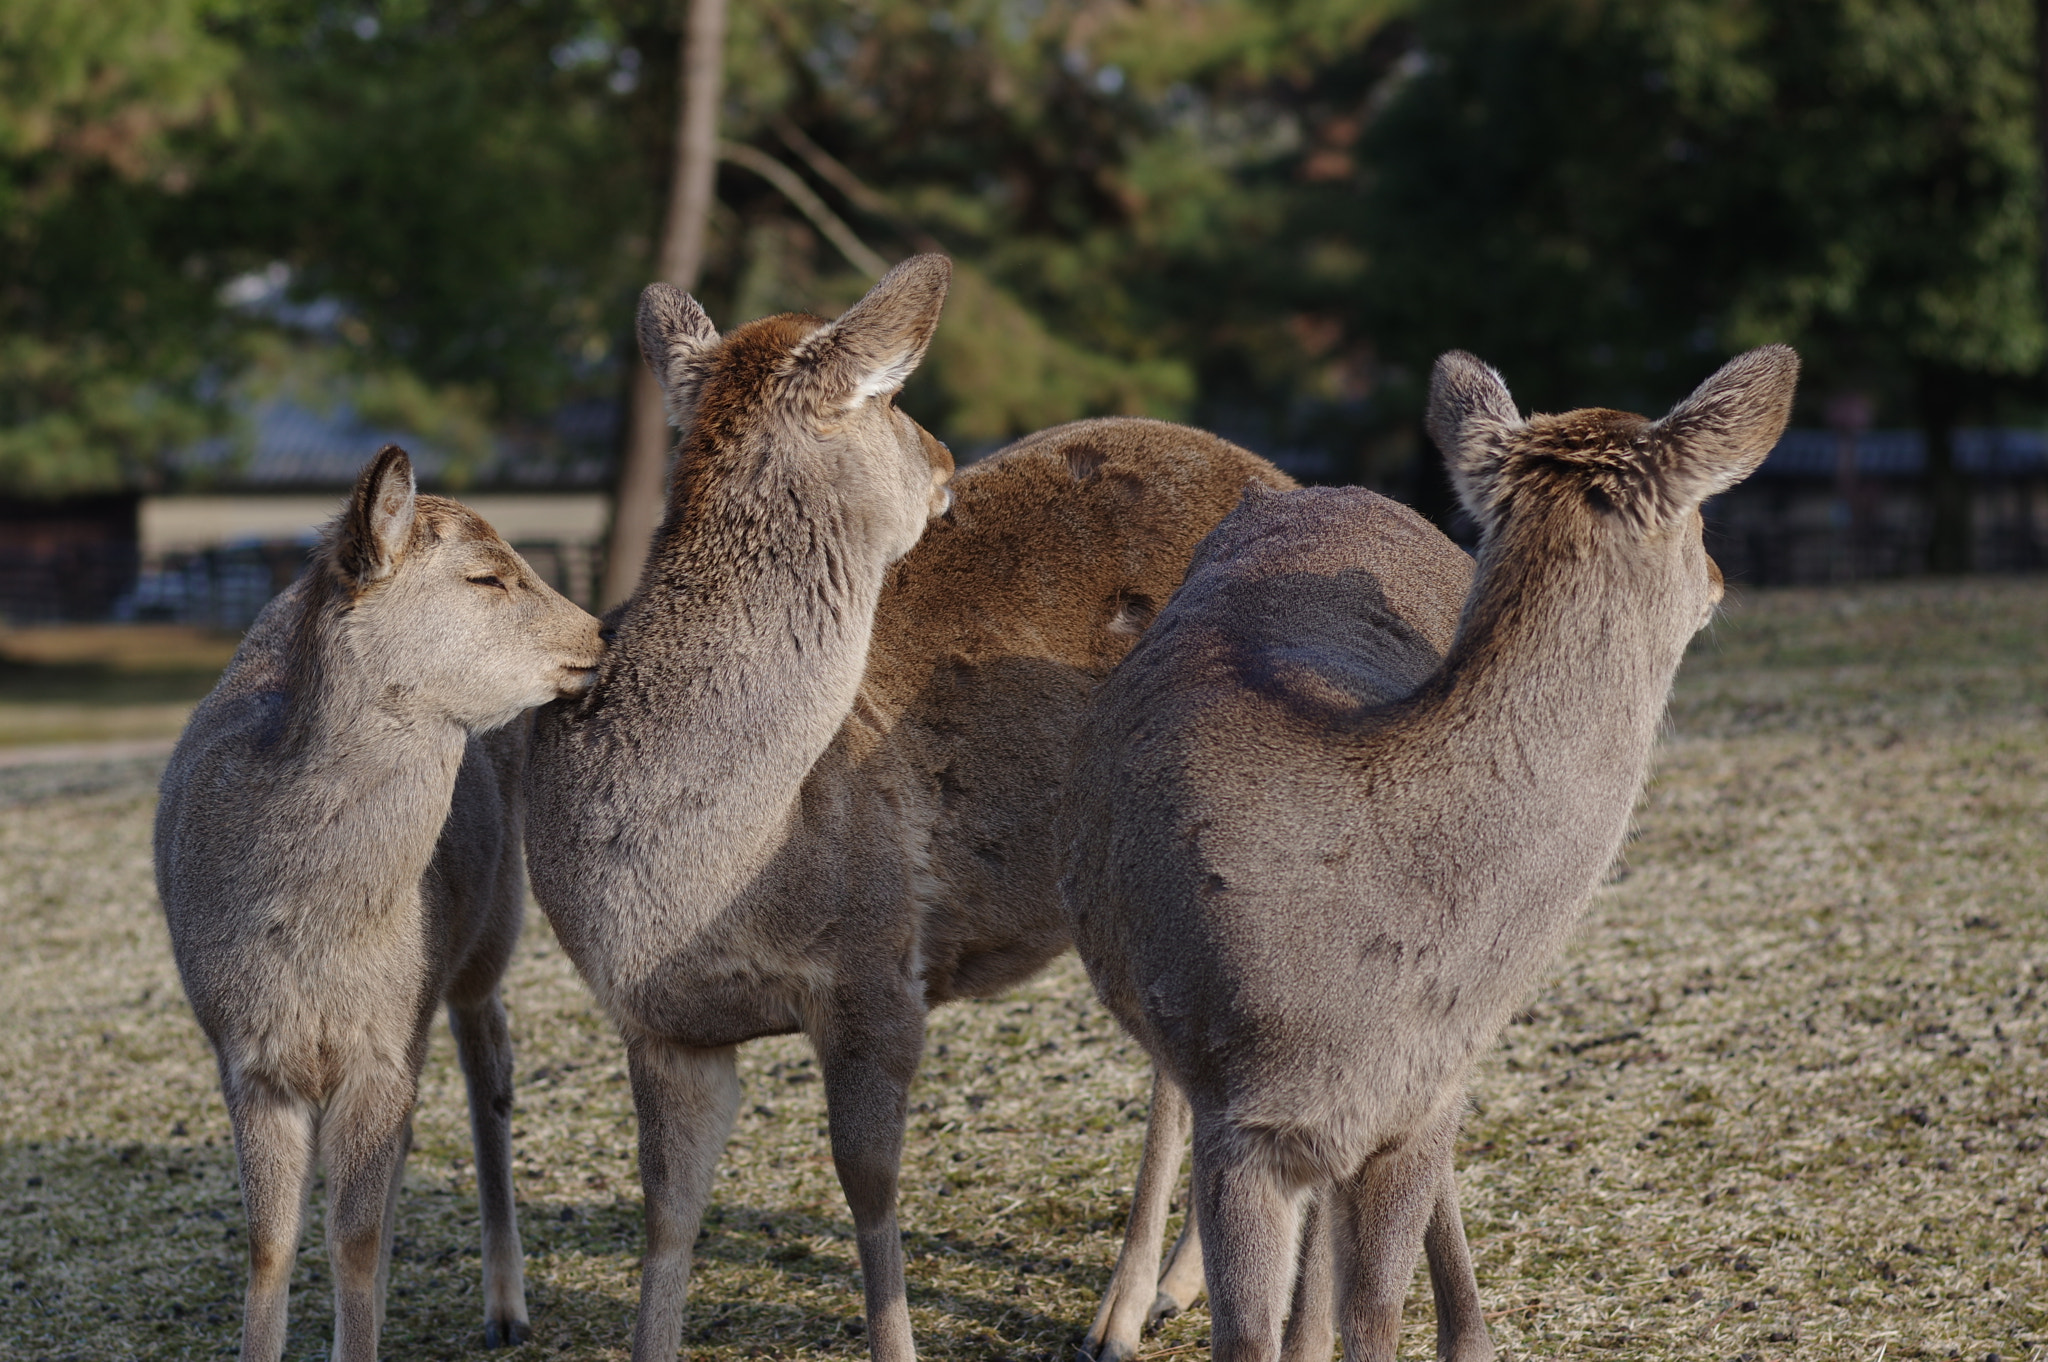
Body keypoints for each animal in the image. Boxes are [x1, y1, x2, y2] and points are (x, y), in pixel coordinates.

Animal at [153, 446, 598, 1359]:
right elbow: (272, 1242)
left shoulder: (380, 1046)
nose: (599, 634)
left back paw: (507, 1310)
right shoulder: (245, 1052)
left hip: (491, 932)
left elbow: (349, 1241)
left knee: (490, 1068)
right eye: (487, 576)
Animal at [528, 258, 1368, 1359]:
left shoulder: (878, 966)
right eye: (888, 398)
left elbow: (868, 1187)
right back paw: (1174, 1289)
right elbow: (667, 1214)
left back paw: (1125, 1311)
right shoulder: (658, 1021)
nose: (941, 459)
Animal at [1064, 348, 1802, 1359]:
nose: (1725, 574)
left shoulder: (1416, 1101)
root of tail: (1299, 489)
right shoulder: (1239, 1116)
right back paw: (1124, 1315)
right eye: (1700, 517)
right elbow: (1247, 1331)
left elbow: (1375, 1308)